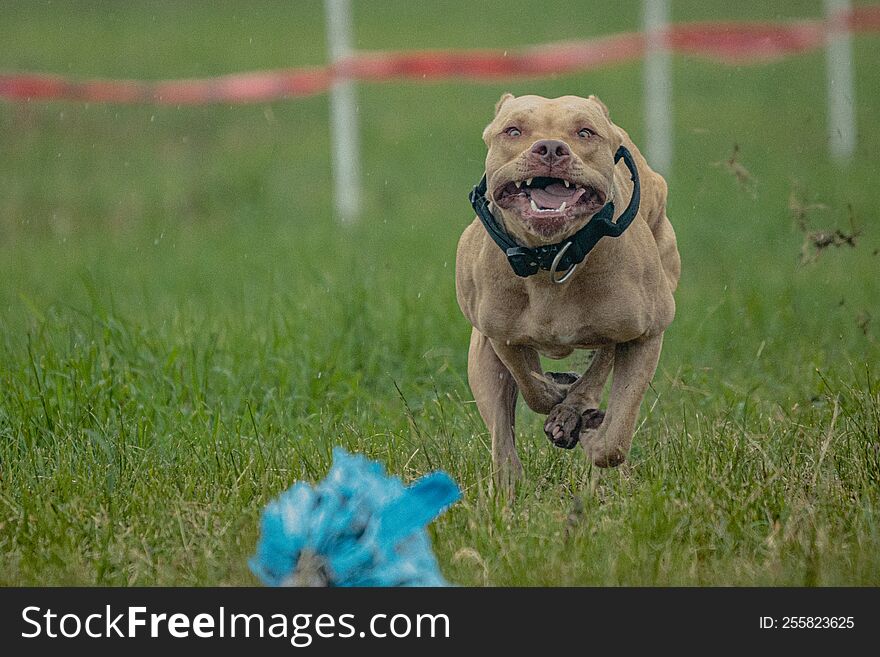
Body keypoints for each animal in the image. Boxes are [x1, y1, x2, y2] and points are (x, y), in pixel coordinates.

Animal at [454, 95, 680, 490]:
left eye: (585, 133)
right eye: (513, 131)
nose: (550, 148)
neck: (551, 258)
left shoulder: (647, 333)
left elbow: (616, 437)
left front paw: (585, 427)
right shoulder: (502, 337)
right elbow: (532, 387)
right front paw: (561, 401)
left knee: (602, 364)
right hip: (481, 354)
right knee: (501, 432)